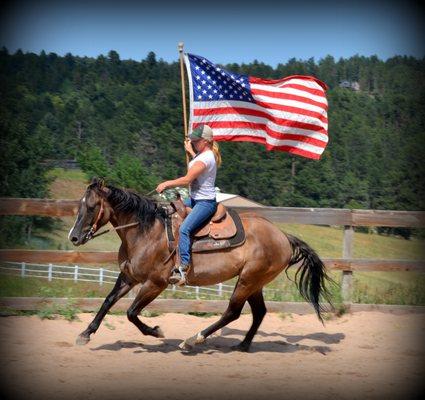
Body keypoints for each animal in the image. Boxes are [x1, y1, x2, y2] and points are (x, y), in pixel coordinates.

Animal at [69, 178, 332, 350]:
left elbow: (132, 312)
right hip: (255, 282)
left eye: (91, 207)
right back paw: (243, 344)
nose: (74, 237)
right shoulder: (128, 277)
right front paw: (85, 334)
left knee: (232, 312)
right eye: (79, 206)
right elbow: (108, 302)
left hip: (248, 280)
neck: (146, 232)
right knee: (259, 312)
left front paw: (155, 331)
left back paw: (193, 339)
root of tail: (283, 236)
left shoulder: (155, 283)